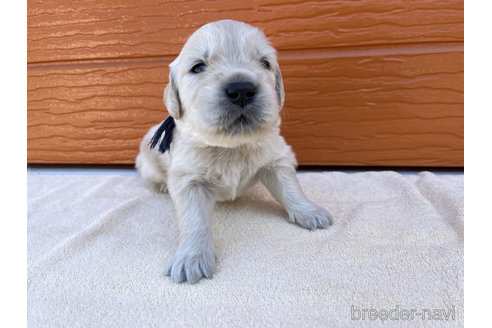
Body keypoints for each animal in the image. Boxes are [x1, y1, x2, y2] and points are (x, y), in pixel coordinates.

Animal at [136, 19, 332, 284]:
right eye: (198, 67)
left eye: (265, 63)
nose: (241, 89)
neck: (231, 146)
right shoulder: (188, 179)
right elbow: (194, 219)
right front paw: (192, 257)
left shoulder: (276, 159)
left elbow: (291, 189)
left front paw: (309, 211)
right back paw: (163, 187)